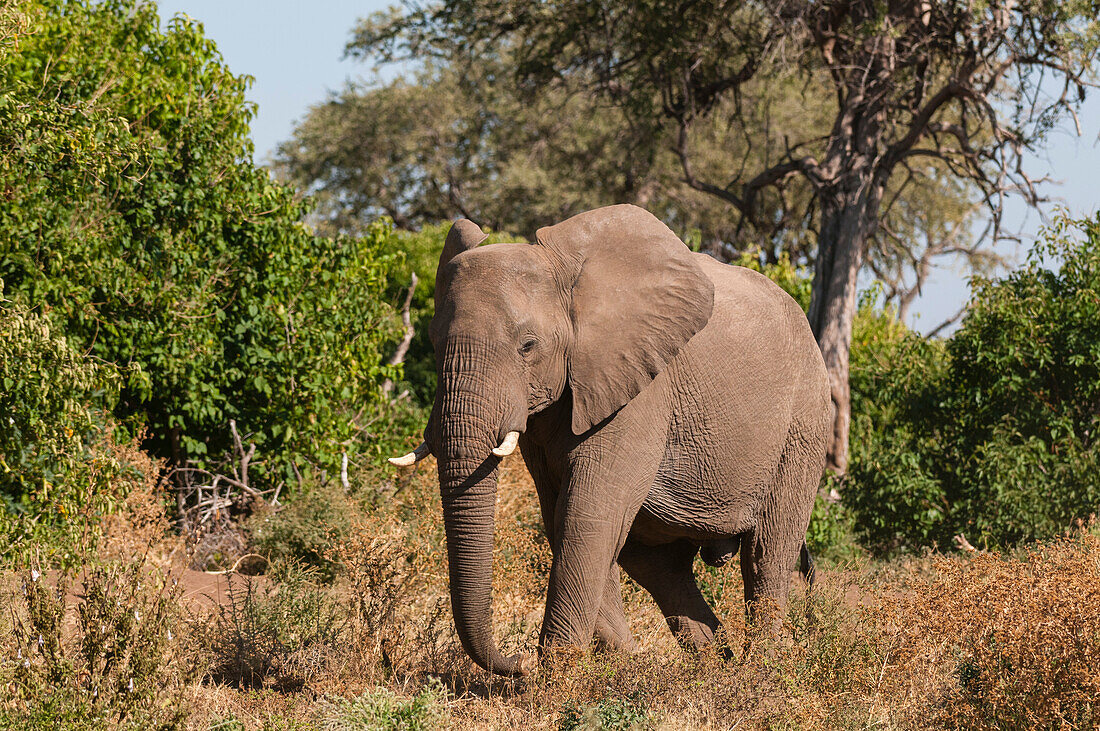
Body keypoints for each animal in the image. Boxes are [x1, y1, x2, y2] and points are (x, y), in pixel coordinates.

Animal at [391, 202, 827, 677]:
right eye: (433, 342)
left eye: (528, 346)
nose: (517, 662)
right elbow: (562, 517)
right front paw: (612, 665)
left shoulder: (641, 389)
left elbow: (586, 515)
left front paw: (558, 677)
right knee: (659, 567)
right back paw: (710, 669)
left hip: (803, 425)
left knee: (767, 553)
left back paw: (757, 672)